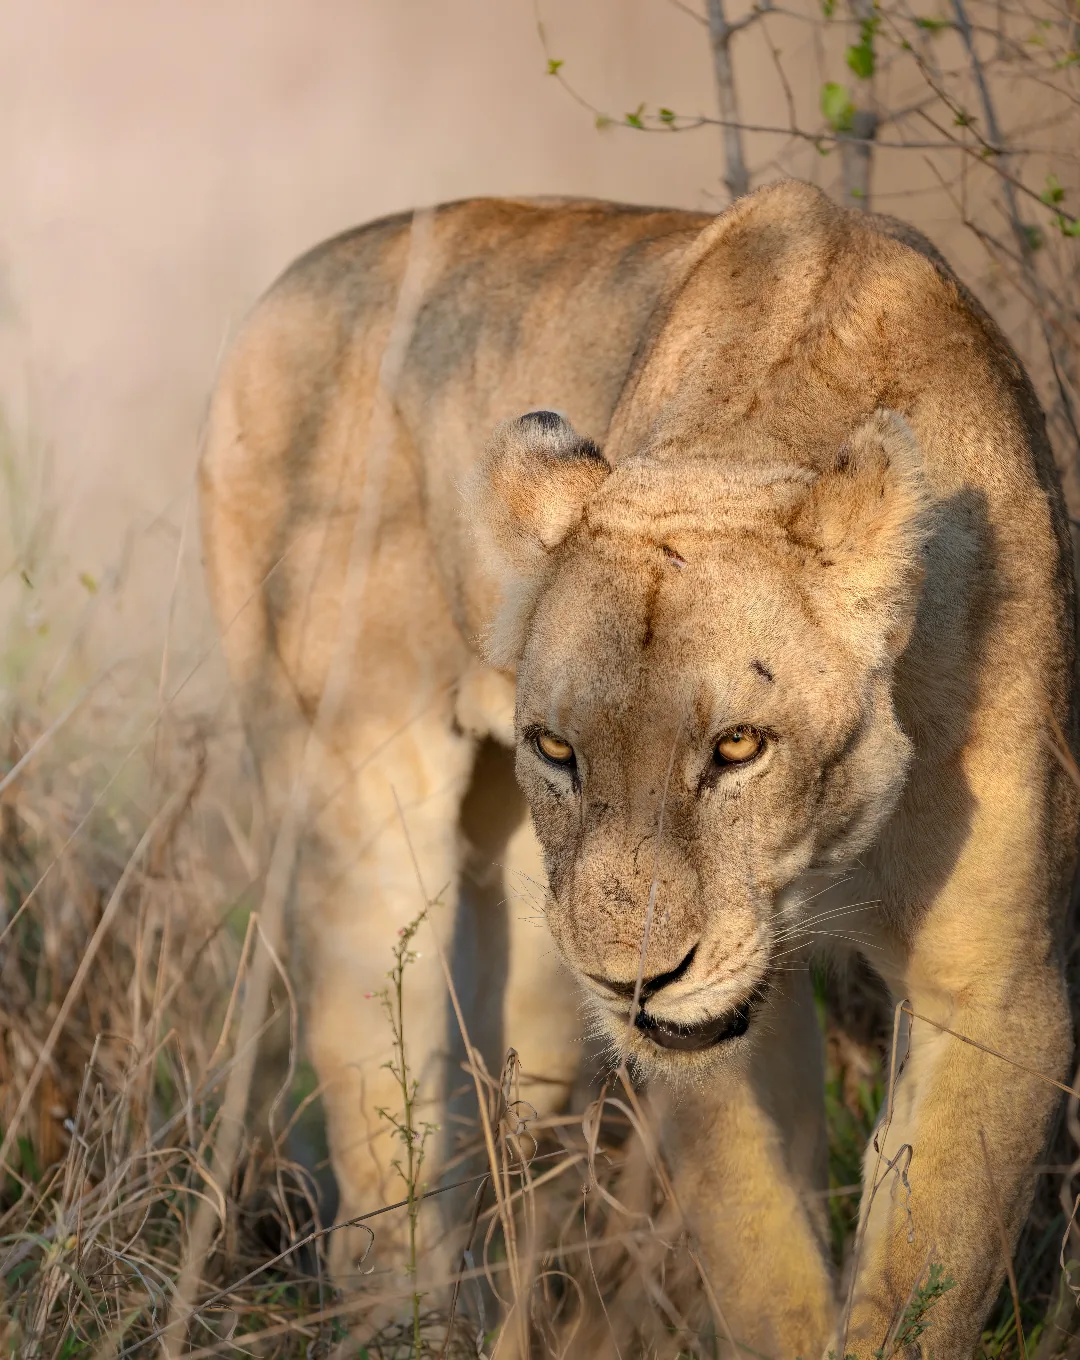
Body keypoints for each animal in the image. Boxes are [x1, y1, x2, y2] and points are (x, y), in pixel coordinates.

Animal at [199, 180, 1078, 1357]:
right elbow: (761, 1264)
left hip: (531, 949)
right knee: (382, 1130)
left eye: (738, 745)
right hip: (362, 802)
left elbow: (926, 1272)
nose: (633, 980)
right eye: (559, 748)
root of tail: (282, 290)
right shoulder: (711, 1046)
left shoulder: (995, 986)